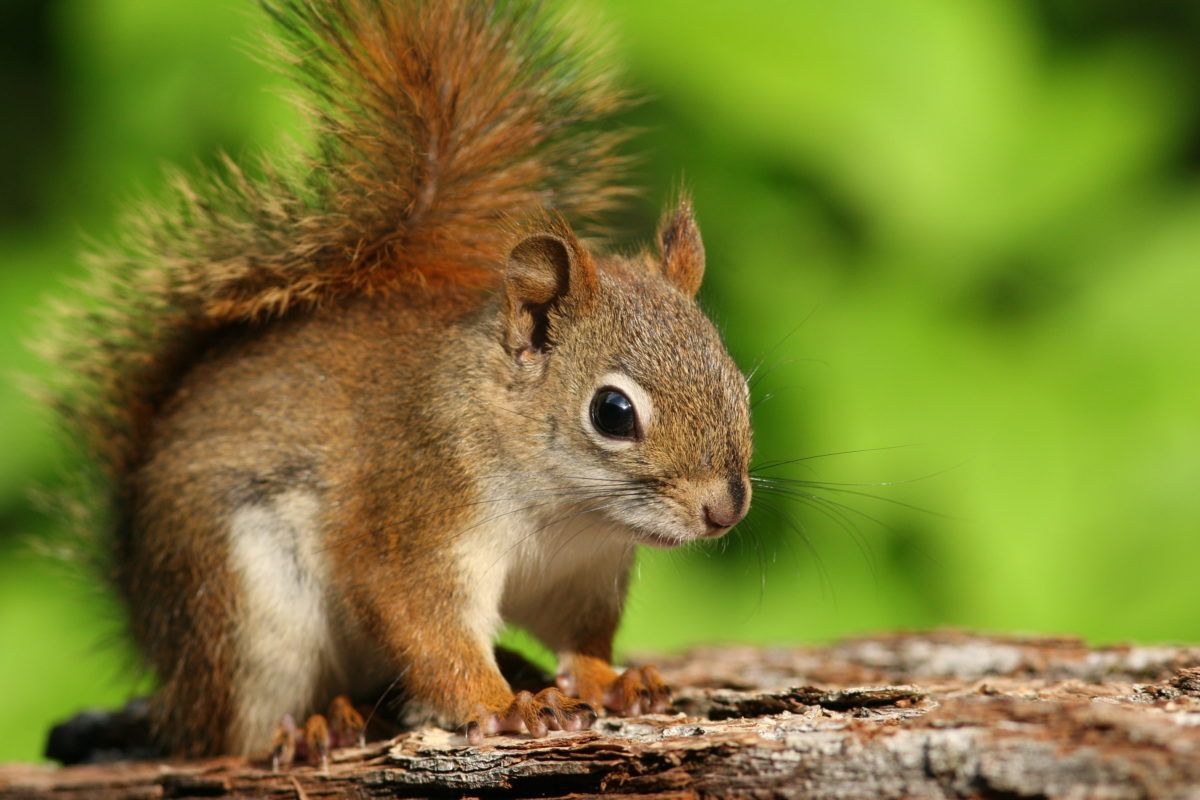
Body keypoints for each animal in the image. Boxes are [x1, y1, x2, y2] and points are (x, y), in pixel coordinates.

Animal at [42, 0, 752, 763]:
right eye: (613, 412)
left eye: (739, 385)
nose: (724, 510)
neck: (568, 514)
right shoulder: (415, 513)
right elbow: (426, 627)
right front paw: (503, 707)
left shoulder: (582, 574)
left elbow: (581, 638)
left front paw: (610, 681)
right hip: (241, 610)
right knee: (236, 732)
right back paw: (315, 726)